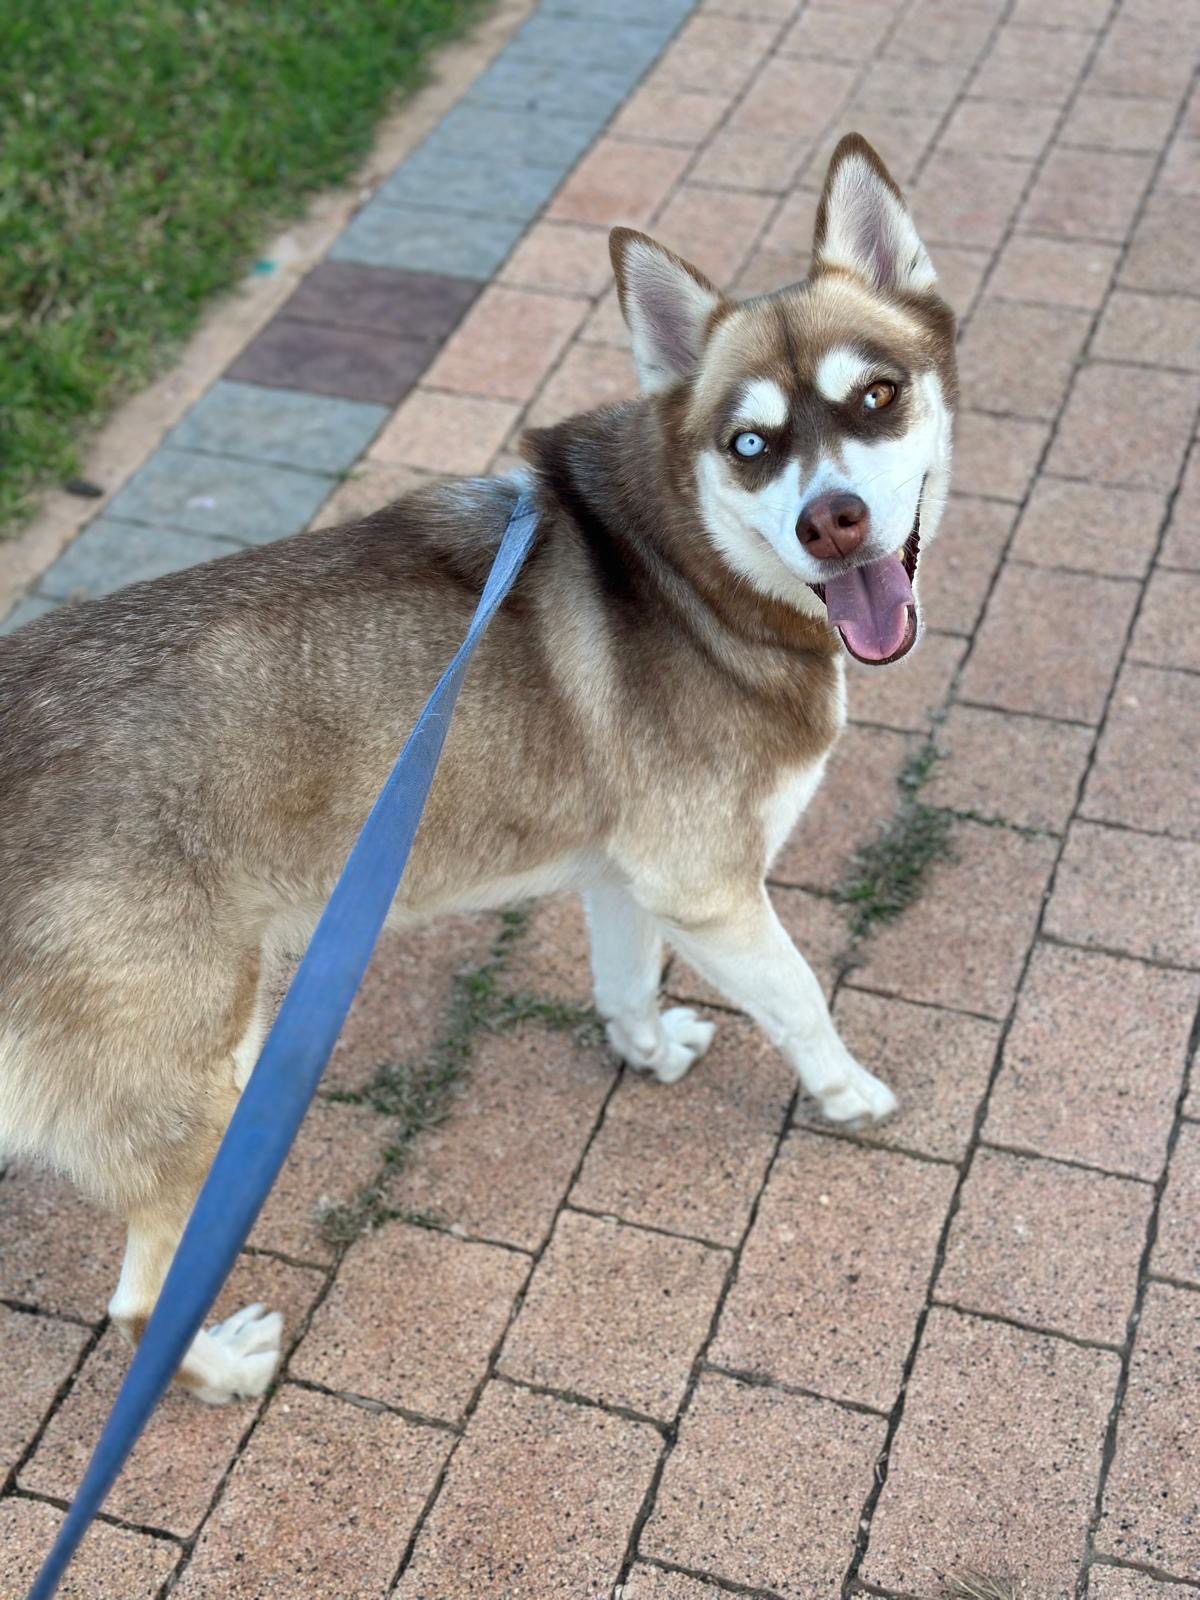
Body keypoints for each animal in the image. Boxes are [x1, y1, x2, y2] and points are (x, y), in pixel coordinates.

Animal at [0, 144, 960, 1408]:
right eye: (749, 445)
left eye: (877, 396)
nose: (833, 522)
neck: (686, 570)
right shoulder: (710, 885)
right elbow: (801, 999)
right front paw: (847, 1095)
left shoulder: (632, 874)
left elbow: (624, 982)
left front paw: (648, 1052)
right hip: (202, 1091)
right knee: (138, 1304)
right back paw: (226, 1366)